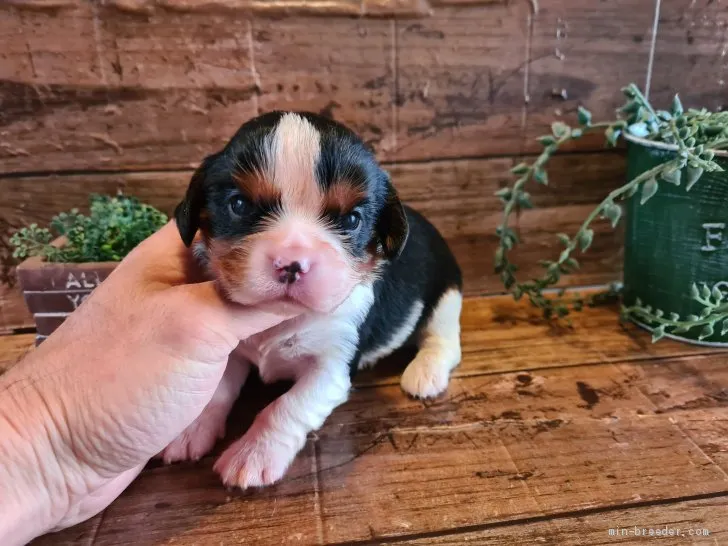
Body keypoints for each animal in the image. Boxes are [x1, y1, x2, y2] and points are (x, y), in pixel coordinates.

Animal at [163, 112, 464, 486]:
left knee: (444, 340)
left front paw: (254, 453)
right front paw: (192, 431)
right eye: (239, 205)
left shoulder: (332, 365)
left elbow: (287, 406)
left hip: (446, 297)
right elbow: (216, 389)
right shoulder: (232, 350)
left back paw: (425, 372)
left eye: (352, 219)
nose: (292, 264)